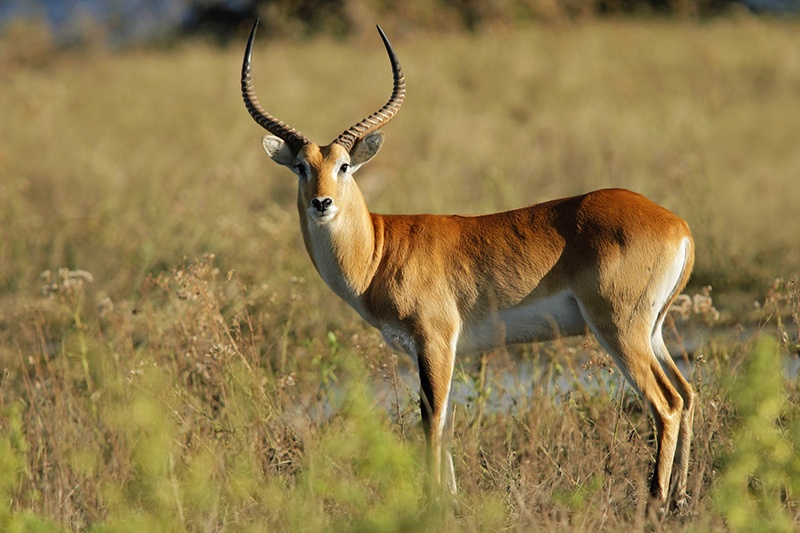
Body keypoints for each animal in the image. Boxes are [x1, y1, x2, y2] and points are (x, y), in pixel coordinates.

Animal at [238, 20, 692, 510]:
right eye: (302, 167)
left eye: (343, 166)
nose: (322, 203)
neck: (380, 249)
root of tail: (677, 224)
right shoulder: (434, 350)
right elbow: (445, 424)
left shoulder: (435, 340)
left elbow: (431, 423)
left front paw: (433, 504)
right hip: (652, 329)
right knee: (686, 394)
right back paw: (681, 497)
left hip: (619, 327)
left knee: (665, 403)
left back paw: (655, 502)